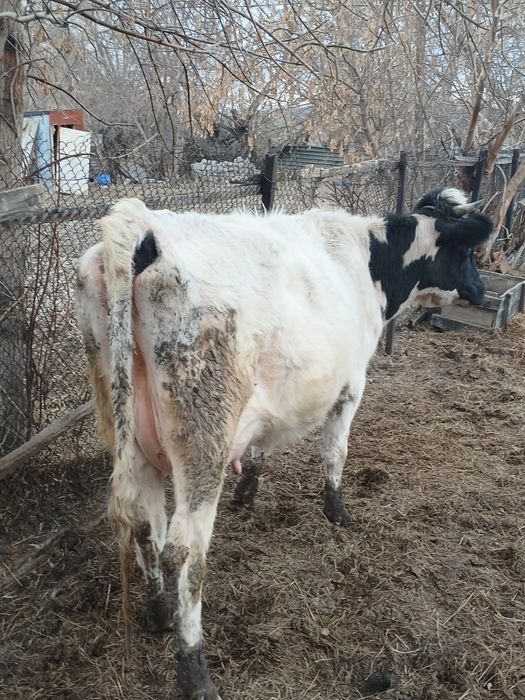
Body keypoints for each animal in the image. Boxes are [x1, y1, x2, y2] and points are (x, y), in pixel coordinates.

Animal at [76, 187, 492, 700]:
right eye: (467, 252)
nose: (481, 290)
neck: (367, 258)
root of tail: (142, 224)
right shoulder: (351, 386)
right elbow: (336, 453)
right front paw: (337, 511)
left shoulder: (266, 404)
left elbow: (259, 448)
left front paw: (248, 492)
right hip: (203, 444)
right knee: (184, 552)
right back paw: (194, 670)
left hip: (129, 435)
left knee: (144, 526)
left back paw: (158, 615)